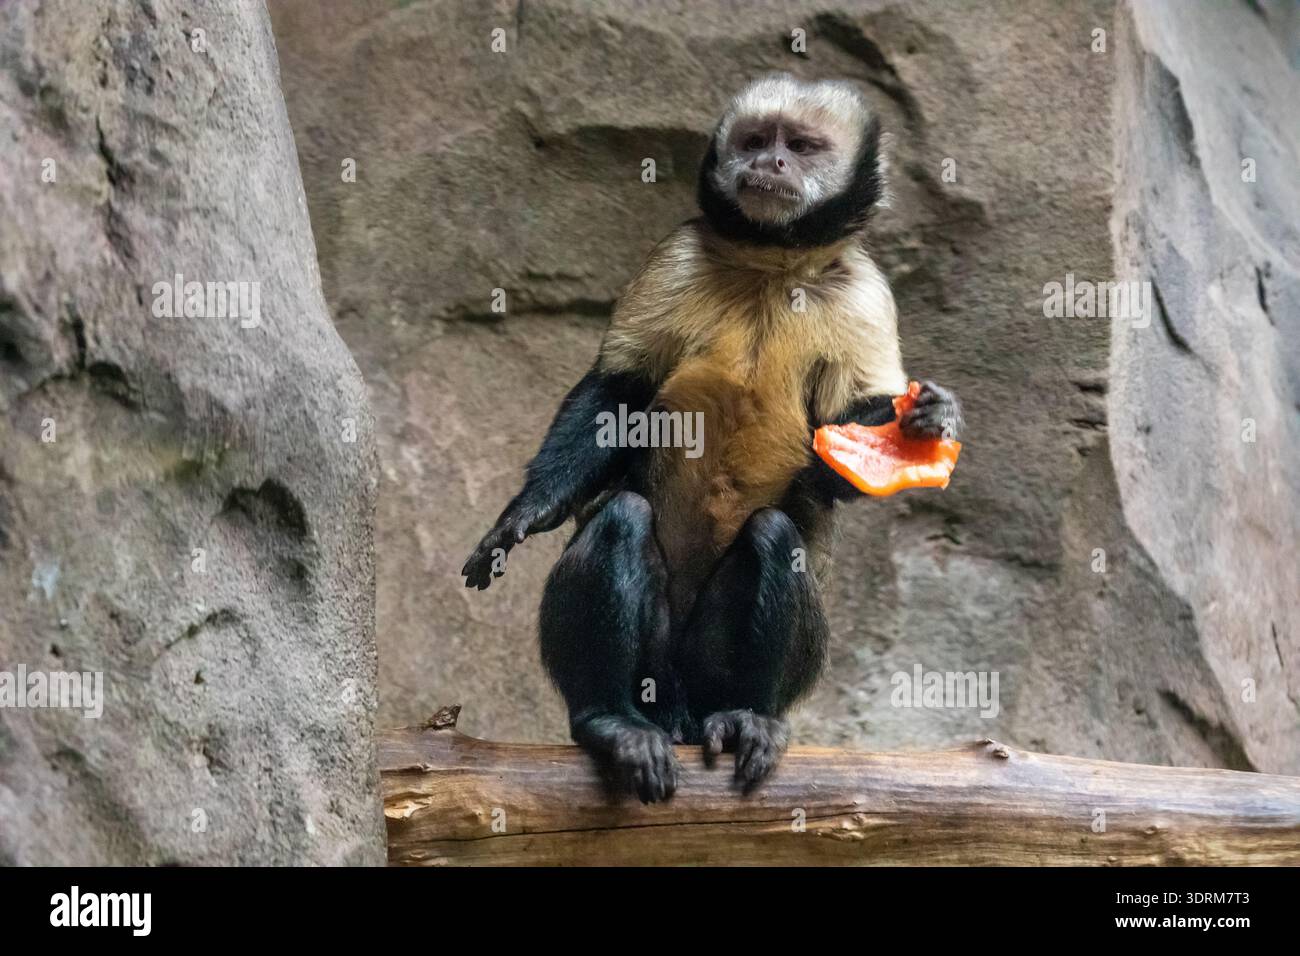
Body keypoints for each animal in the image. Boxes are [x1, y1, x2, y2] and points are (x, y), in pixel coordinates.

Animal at [463, 73, 963, 802]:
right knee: (623, 516)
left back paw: (746, 715)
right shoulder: (676, 256)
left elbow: (842, 445)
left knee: (775, 536)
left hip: (713, 672)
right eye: (756, 140)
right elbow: (619, 392)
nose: (771, 163)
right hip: (656, 669)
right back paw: (613, 720)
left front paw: (932, 421)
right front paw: (525, 512)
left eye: (802, 147)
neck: (773, 264)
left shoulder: (862, 290)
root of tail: (679, 704)